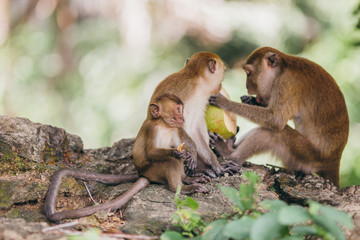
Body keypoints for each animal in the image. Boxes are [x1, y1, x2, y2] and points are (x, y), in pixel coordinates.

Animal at [44, 94, 208, 222]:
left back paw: (187, 179)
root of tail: (143, 174)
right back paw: (180, 187)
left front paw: (190, 156)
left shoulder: (174, 129)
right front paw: (176, 153)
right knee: (169, 162)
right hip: (154, 170)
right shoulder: (152, 129)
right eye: (178, 110)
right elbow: (152, 152)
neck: (164, 124)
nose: (183, 118)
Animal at [208, 46, 348, 187]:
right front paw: (251, 101)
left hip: (307, 158)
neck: (282, 69)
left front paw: (226, 103)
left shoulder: (287, 83)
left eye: (249, 73)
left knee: (274, 134)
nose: (247, 87)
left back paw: (230, 154)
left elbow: (276, 120)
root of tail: (333, 162)